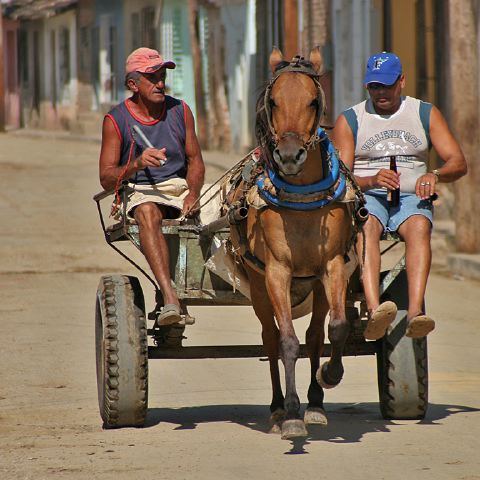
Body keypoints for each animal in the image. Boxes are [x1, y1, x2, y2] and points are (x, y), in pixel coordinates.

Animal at [227, 47, 362, 438]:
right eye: (272, 101)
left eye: (313, 101)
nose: (288, 156)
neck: (302, 195)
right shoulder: (276, 272)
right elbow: (286, 340)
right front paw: (290, 414)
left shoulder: (332, 267)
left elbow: (336, 328)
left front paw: (329, 376)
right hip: (258, 285)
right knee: (270, 338)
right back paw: (276, 408)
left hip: (316, 285)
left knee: (316, 334)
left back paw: (315, 403)